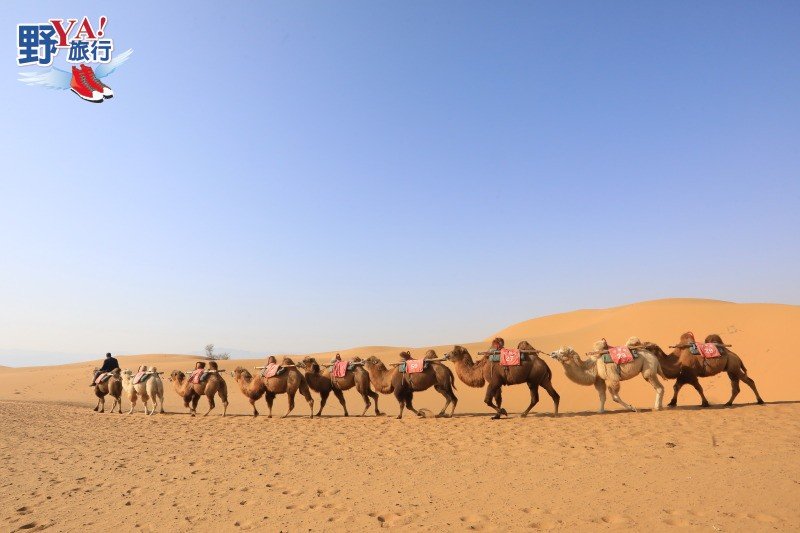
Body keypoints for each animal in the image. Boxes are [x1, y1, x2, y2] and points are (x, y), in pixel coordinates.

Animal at [636, 332, 764, 408]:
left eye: (647, 346)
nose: (637, 348)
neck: (677, 360)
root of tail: (737, 356)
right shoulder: (683, 376)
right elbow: (676, 387)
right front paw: (672, 402)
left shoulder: (690, 374)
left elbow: (698, 388)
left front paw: (705, 403)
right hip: (731, 369)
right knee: (736, 387)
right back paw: (729, 403)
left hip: (734, 367)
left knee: (749, 381)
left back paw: (760, 401)